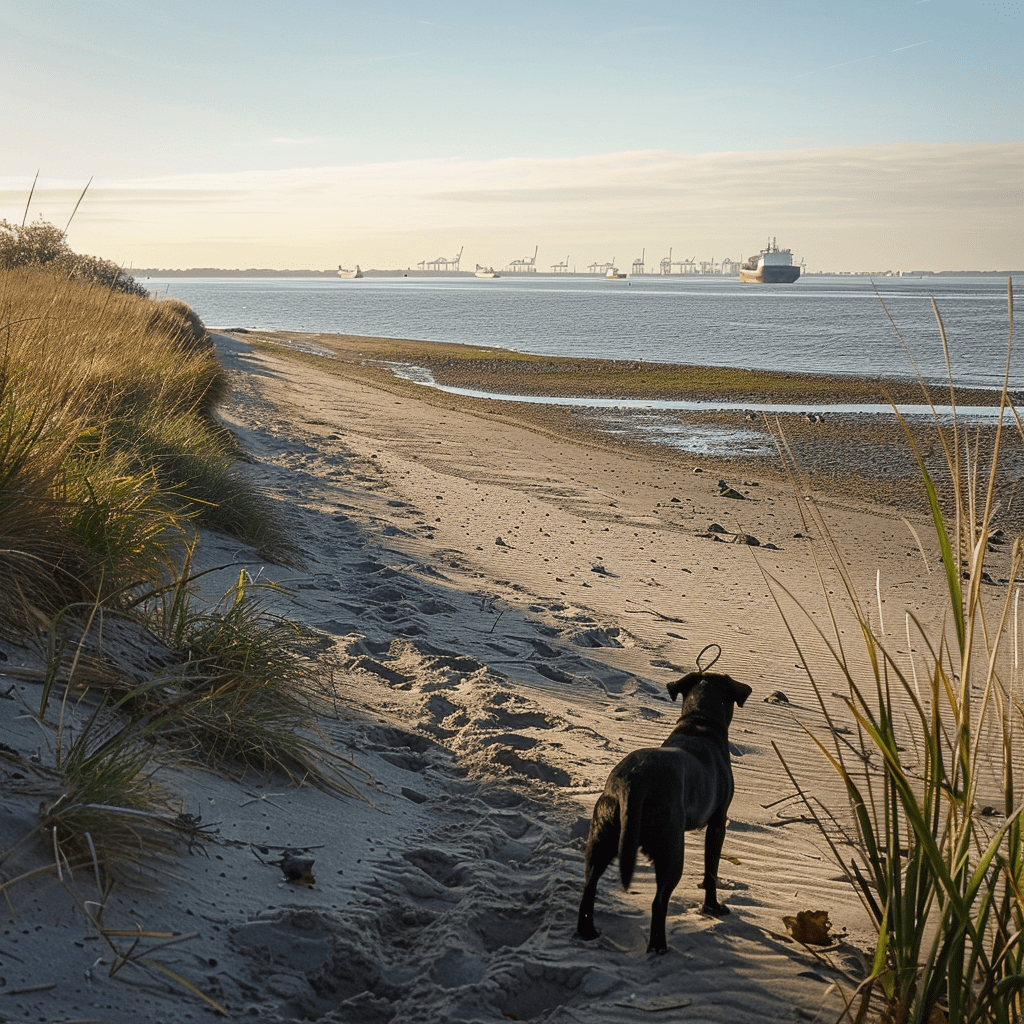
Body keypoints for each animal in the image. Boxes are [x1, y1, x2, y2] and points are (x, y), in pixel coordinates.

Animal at [577, 671, 753, 950]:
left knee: (589, 885)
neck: (699, 723)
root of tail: (633, 782)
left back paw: (587, 932)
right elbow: (711, 870)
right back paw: (659, 947)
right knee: (659, 902)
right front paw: (712, 907)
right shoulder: (717, 822)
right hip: (670, 847)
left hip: (602, 835)